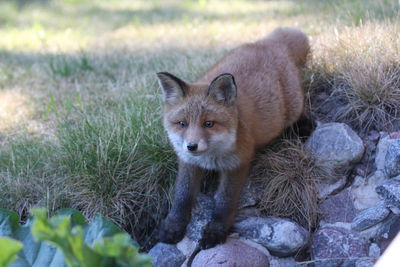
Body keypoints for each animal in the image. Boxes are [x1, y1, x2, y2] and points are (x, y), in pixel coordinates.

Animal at [156, 27, 310, 249]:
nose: (191, 146)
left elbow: (224, 202)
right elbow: (182, 196)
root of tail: (268, 43)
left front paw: (215, 231)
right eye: (182, 124)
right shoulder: (188, 162)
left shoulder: (237, 163)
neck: (211, 158)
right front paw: (173, 226)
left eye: (209, 124)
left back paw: (303, 126)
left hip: (294, 106)